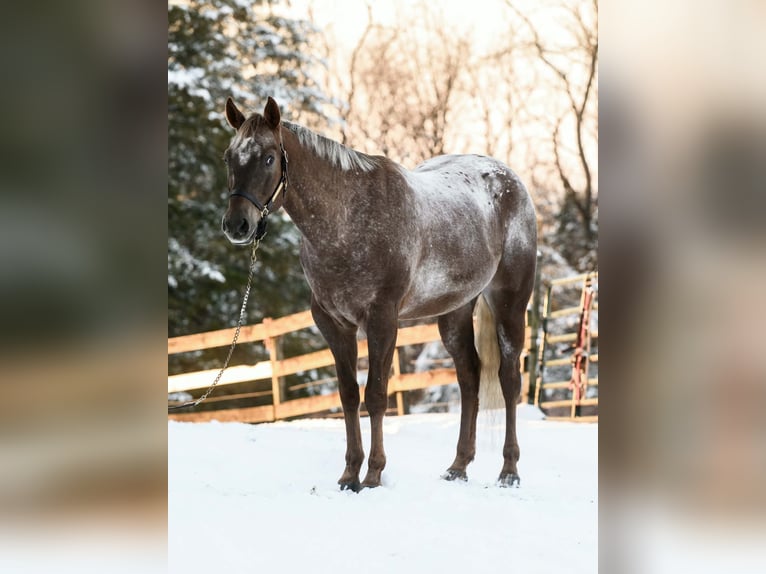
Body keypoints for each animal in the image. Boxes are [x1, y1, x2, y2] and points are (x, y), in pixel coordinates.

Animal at [221, 97, 537, 491]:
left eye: (268, 158)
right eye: (228, 157)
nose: (237, 225)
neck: (347, 220)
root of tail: (509, 178)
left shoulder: (382, 320)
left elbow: (375, 394)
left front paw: (372, 474)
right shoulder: (334, 324)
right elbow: (348, 395)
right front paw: (349, 475)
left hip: (510, 302)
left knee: (509, 379)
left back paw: (509, 471)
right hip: (455, 310)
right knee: (469, 376)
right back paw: (458, 466)